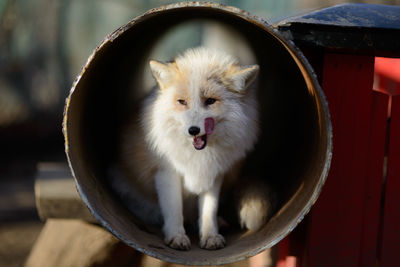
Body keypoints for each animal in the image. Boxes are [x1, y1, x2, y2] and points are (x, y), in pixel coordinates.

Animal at [113, 47, 276, 251]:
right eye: (182, 102)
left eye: (210, 101)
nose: (193, 130)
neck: (199, 156)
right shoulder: (166, 172)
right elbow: (174, 210)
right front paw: (176, 236)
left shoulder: (214, 173)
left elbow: (209, 211)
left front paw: (210, 236)